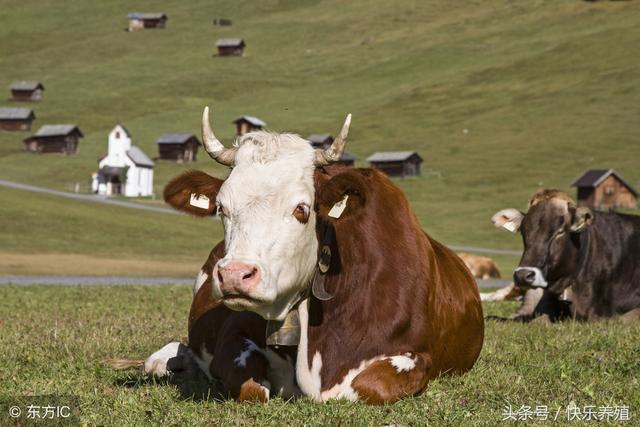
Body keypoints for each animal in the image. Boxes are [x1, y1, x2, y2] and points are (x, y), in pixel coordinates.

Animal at [140, 108, 482, 404]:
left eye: (301, 209)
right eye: (221, 208)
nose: (235, 275)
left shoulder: (416, 357)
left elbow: (366, 386)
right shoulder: (232, 335)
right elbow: (250, 385)